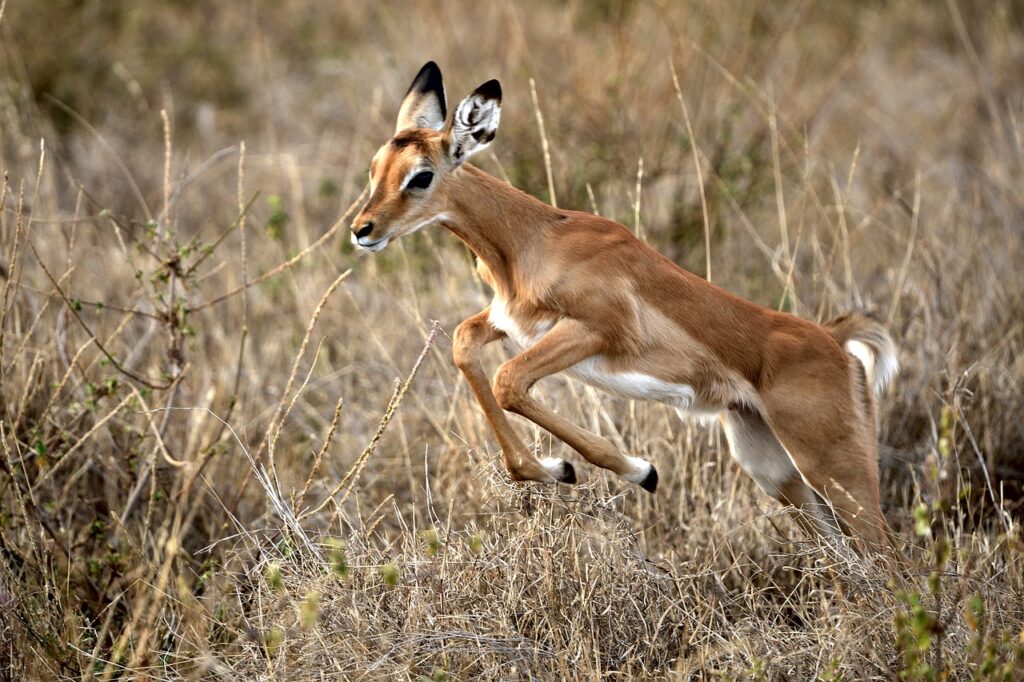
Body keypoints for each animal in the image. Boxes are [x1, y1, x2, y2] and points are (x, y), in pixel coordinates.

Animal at [352, 59, 897, 548]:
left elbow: (509, 381)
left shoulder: (592, 331)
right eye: (376, 168)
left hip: (833, 467)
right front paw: (557, 468)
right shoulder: (507, 320)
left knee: (888, 556)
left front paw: (640, 471)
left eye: (421, 176)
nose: (362, 230)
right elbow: (465, 346)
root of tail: (834, 340)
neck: (532, 239)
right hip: (774, 470)